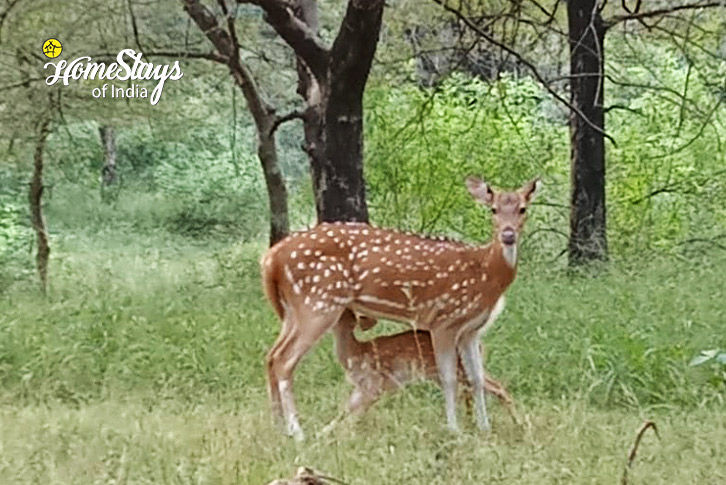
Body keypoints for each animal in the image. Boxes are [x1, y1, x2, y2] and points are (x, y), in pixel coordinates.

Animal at [262, 175, 540, 438]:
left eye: (523, 209)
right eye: (493, 209)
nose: (508, 235)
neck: (485, 274)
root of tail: (271, 257)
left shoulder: (470, 330)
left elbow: (476, 378)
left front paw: (484, 429)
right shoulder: (444, 319)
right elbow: (449, 378)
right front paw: (455, 430)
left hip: (294, 310)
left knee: (271, 356)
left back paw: (277, 427)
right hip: (317, 302)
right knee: (284, 360)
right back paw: (297, 432)